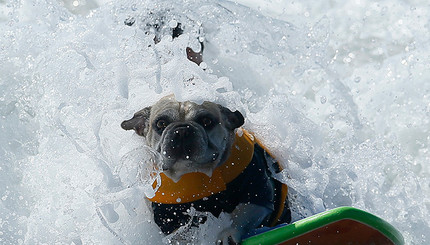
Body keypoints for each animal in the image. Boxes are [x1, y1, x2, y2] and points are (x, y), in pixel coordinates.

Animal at [120, 94, 292, 242]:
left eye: (206, 121)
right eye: (161, 123)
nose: (182, 130)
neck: (193, 173)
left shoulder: (257, 193)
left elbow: (241, 214)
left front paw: (227, 234)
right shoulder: (168, 217)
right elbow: (179, 234)